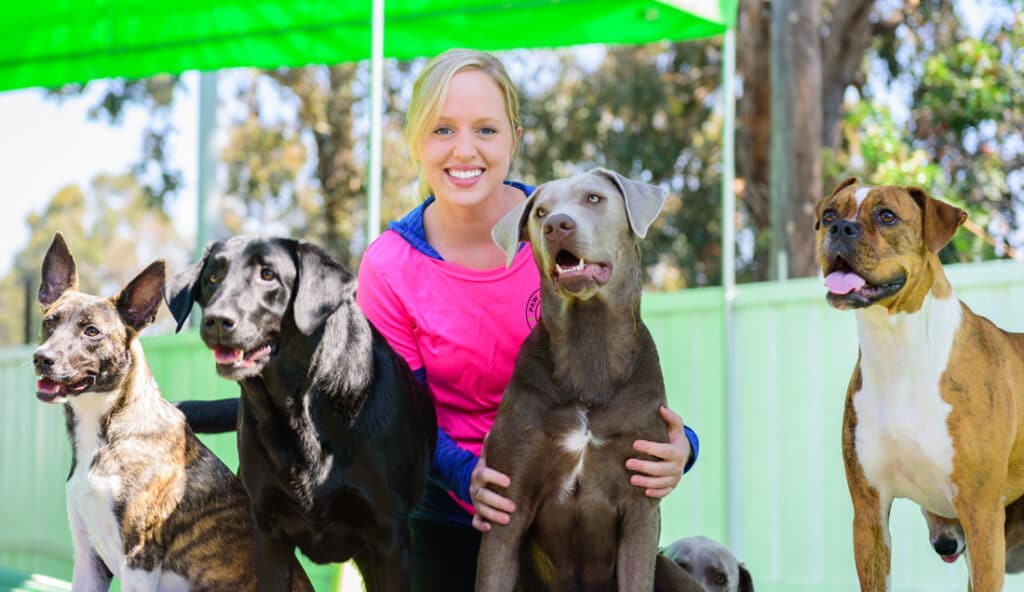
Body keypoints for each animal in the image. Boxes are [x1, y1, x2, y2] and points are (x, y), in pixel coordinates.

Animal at [35, 233, 311, 589]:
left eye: (91, 332)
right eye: (49, 323)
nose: (42, 358)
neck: (112, 429)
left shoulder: (139, 558)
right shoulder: (88, 558)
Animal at [819, 177, 1024, 585]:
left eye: (887, 216)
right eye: (829, 214)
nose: (840, 228)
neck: (899, 352)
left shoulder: (981, 515)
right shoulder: (869, 515)